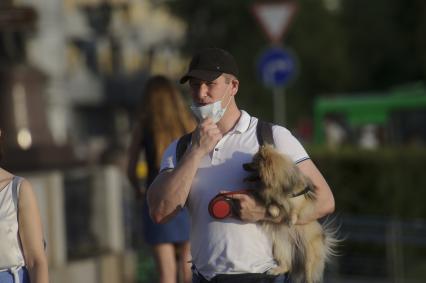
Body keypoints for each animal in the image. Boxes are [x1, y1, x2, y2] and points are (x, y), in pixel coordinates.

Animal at [245, 146, 338, 283]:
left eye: (253, 163)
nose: (243, 165)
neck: (276, 187)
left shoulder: (300, 200)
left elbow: (295, 209)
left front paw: (291, 219)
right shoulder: (271, 198)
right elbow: (272, 204)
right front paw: (274, 211)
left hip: (309, 256)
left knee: (309, 275)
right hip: (280, 246)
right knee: (287, 265)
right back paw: (275, 270)